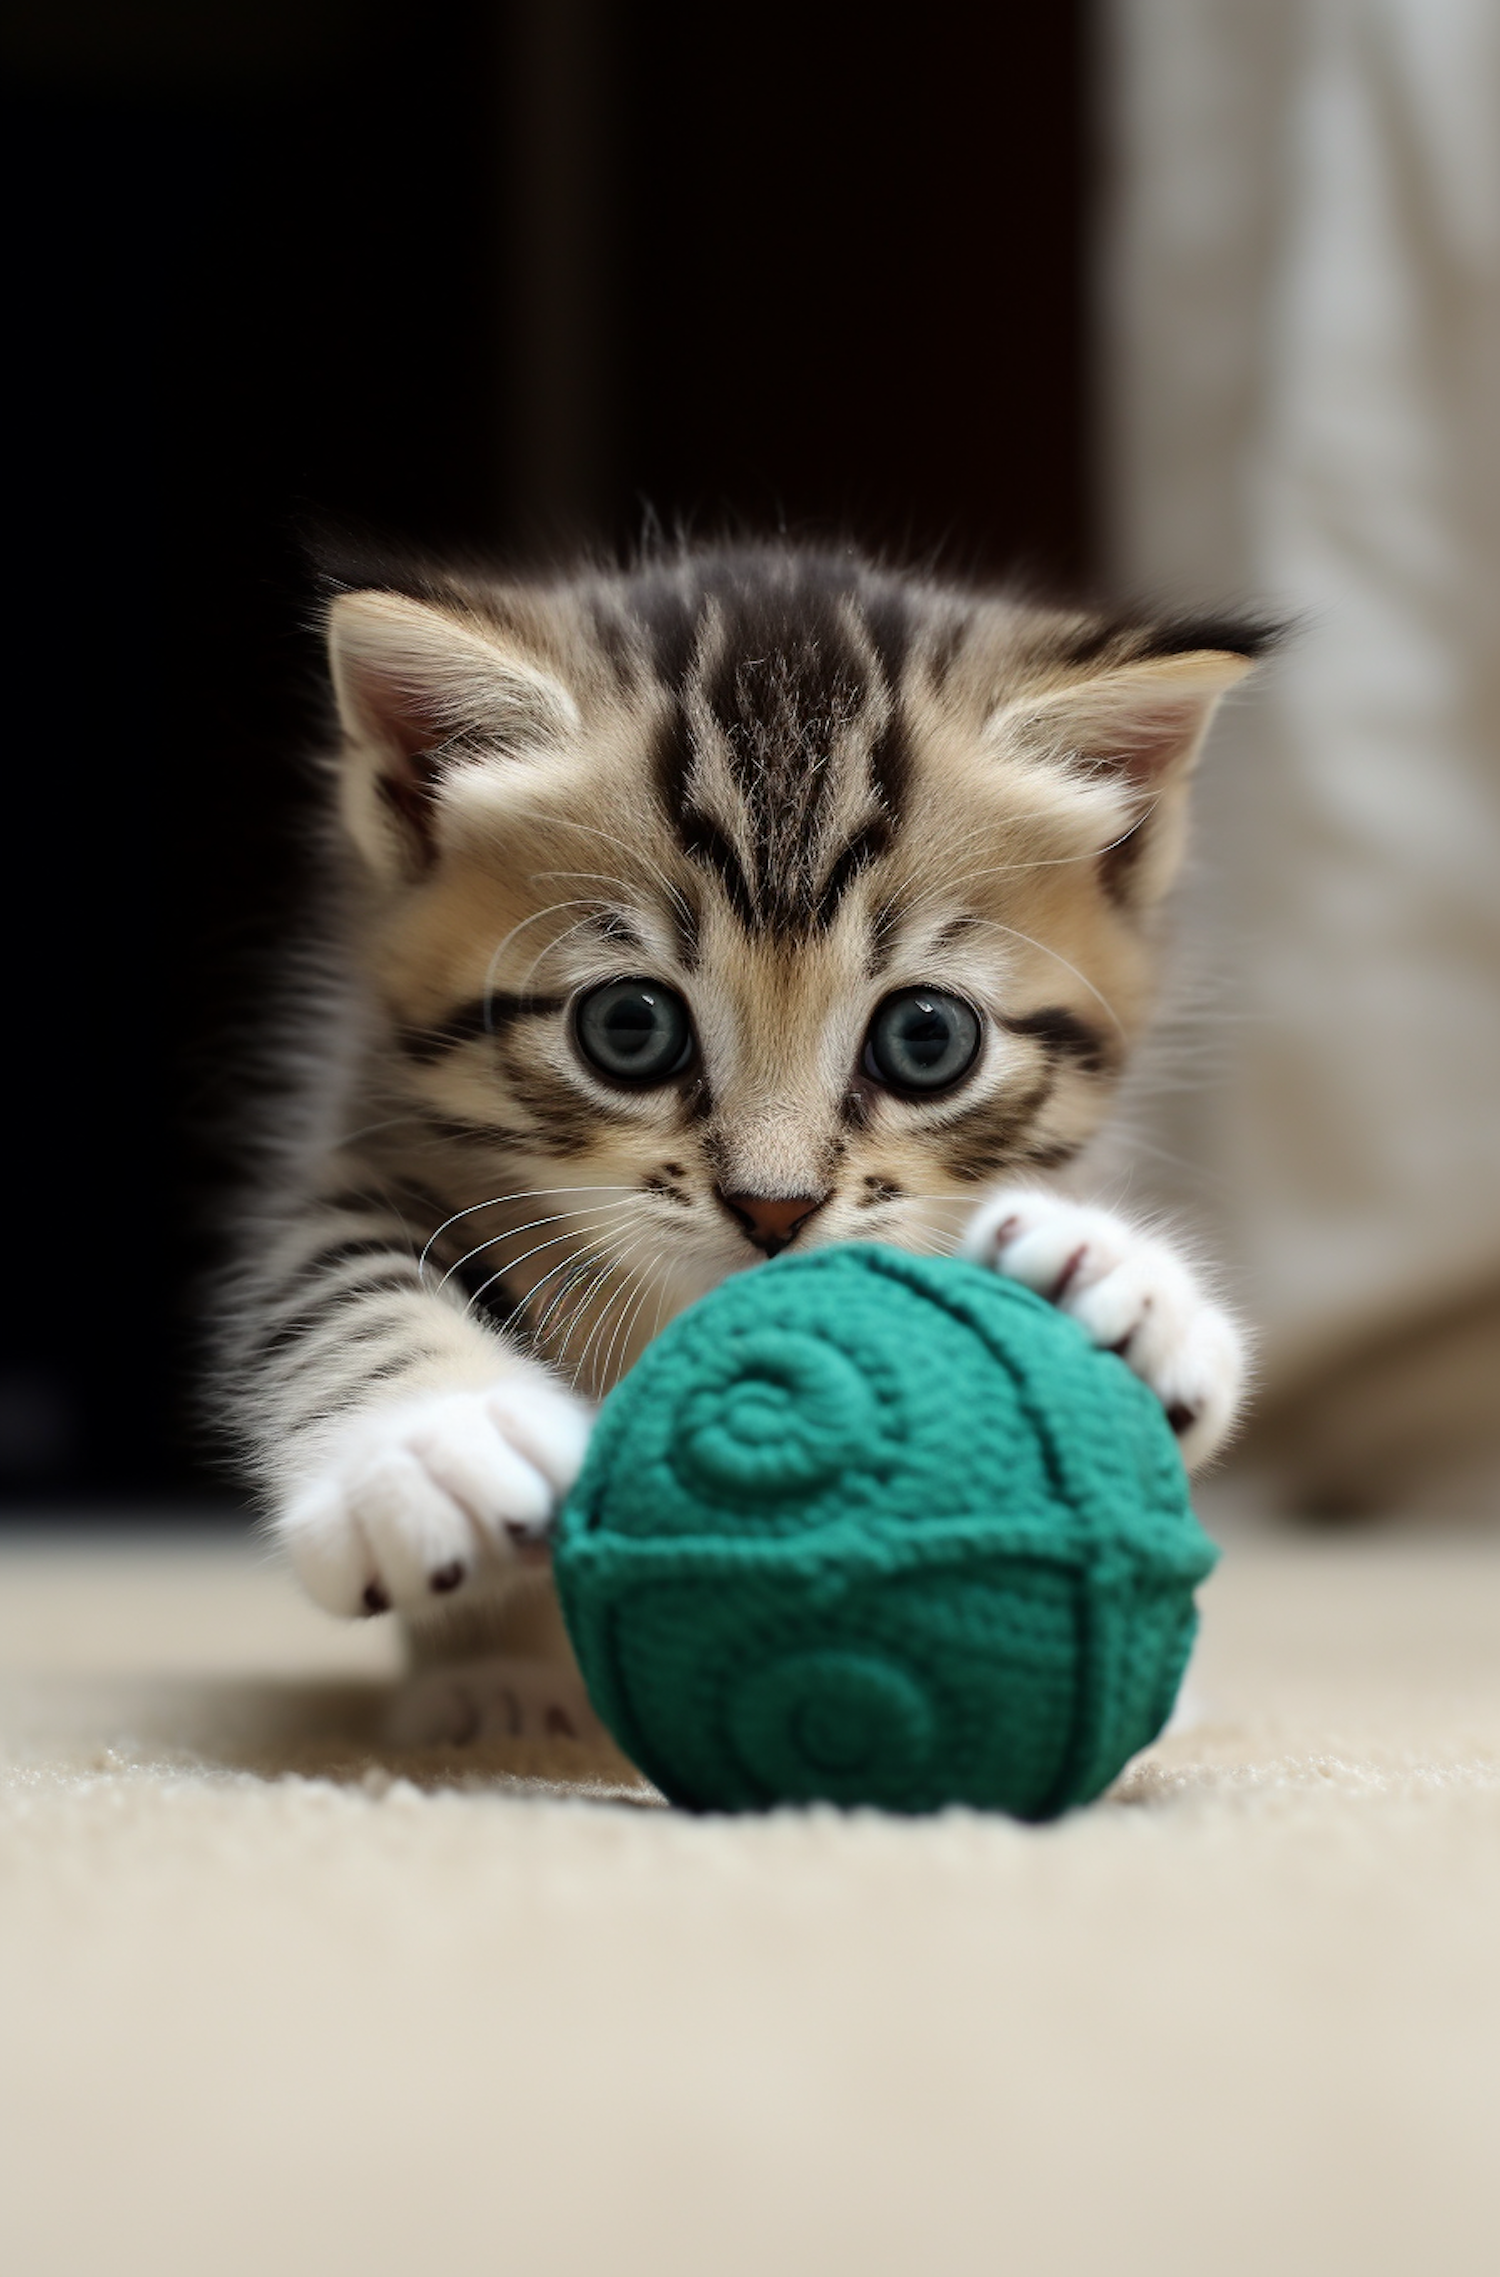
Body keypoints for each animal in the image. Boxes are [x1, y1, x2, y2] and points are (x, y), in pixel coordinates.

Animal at [223, 537, 1265, 1739]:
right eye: (629, 1028)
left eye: (927, 1037)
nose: (776, 1206)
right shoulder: (366, 1133)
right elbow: (342, 1280)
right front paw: (433, 1446)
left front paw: (1127, 1294)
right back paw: (500, 1687)